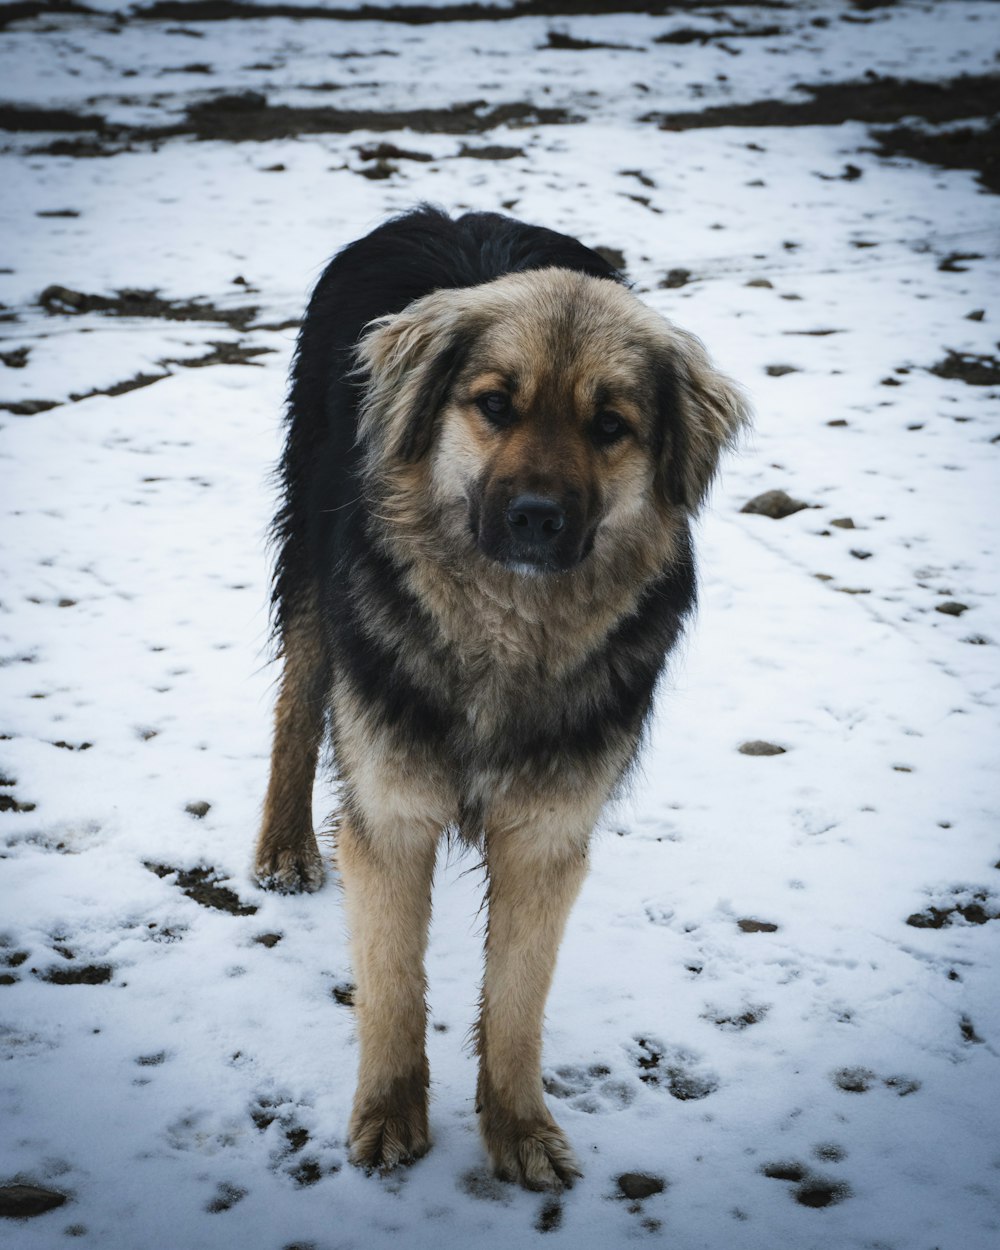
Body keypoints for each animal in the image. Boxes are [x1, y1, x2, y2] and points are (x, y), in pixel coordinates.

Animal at [253, 205, 745, 1190]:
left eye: (609, 425)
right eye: (494, 406)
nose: (535, 519)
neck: (506, 633)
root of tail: (447, 213)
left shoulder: (547, 833)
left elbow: (518, 997)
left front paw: (517, 1127)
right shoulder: (393, 810)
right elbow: (394, 984)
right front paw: (390, 1112)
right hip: (316, 572)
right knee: (296, 701)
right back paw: (284, 843)